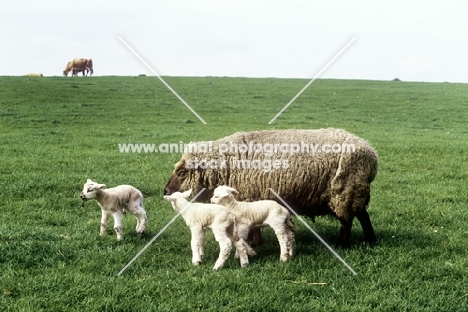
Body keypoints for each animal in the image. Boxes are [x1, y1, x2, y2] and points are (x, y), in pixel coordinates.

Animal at [163, 128, 378, 247]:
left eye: (182, 172)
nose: (165, 191)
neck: (226, 165)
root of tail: (371, 153)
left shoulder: (249, 197)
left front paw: (255, 243)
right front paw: (255, 242)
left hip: (345, 191)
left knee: (348, 220)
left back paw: (341, 244)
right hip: (353, 191)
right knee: (363, 216)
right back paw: (370, 240)